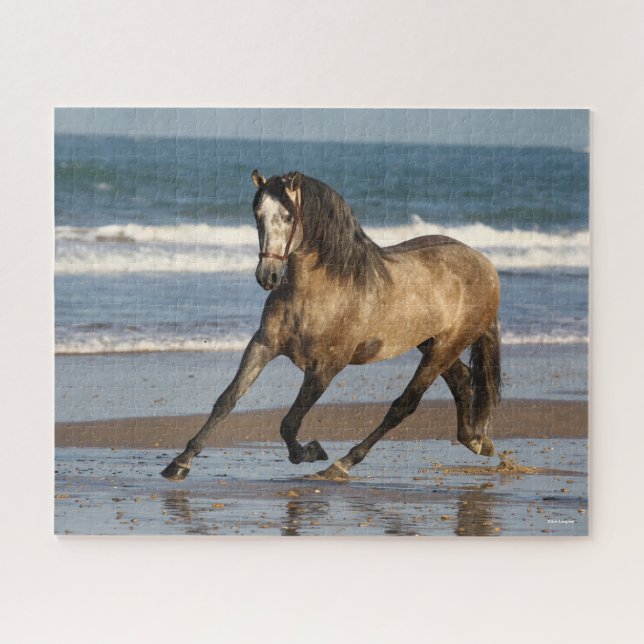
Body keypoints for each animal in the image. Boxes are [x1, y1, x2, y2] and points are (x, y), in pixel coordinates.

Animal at [161, 170, 501, 482]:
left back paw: (341, 464)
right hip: (431, 343)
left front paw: (311, 452)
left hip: (446, 347)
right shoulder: (262, 346)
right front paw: (180, 463)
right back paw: (477, 441)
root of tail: (484, 264)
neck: (320, 291)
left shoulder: (325, 368)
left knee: (403, 405)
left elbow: (289, 423)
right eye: (257, 215)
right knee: (462, 379)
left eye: (288, 216)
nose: (267, 276)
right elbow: (227, 400)